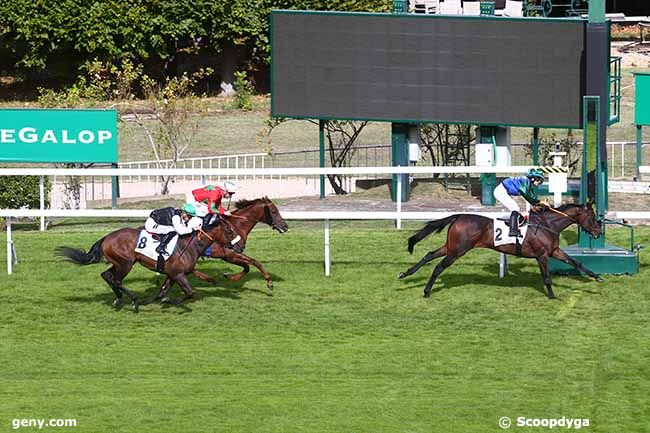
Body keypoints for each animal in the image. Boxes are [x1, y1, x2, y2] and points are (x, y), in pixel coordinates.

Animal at [55, 219, 242, 308]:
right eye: (229, 230)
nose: (240, 246)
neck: (189, 245)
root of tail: (106, 237)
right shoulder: (178, 274)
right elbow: (189, 292)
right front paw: (171, 302)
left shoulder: (172, 274)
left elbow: (161, 291)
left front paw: (155, 300)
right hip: (126, 264)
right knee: (115, 279)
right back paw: (133, 300)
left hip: (119, 263)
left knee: (106, 275)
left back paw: (120, 299)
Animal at [398, 201, 604, 298]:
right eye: (592, 217)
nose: (598, 232)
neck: (547, 225)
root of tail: (459, 216)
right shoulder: (542, 255)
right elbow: (546, 277)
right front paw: (552, 296)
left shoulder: (554, 251)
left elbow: (576, 262)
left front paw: (597, 277)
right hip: (458, 251)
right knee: (439, 266)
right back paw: (426, 291)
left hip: (451, 246)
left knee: (429, 255)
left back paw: (405, 274)